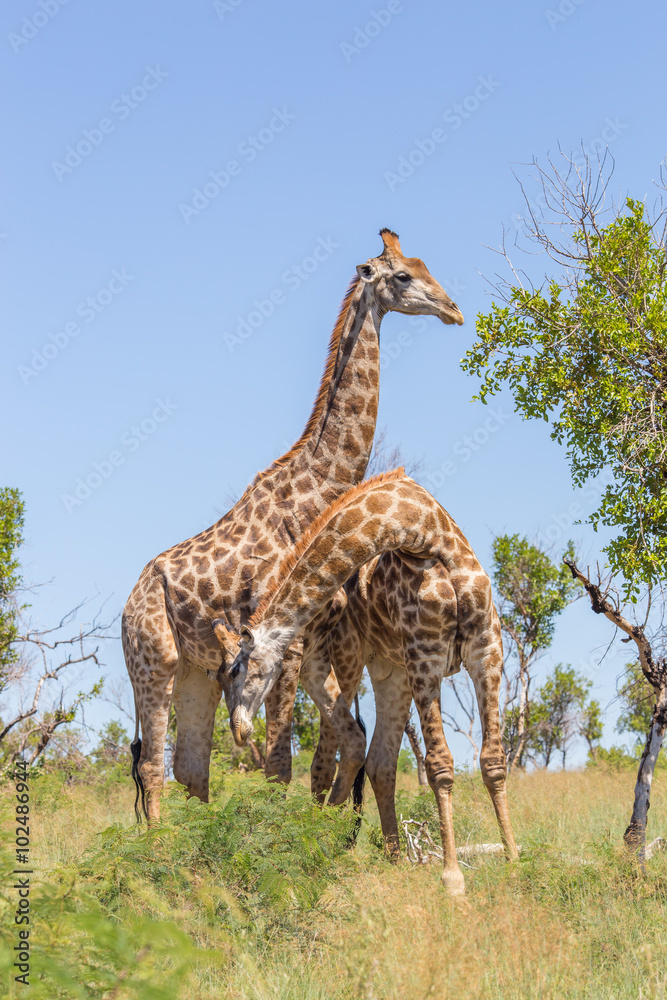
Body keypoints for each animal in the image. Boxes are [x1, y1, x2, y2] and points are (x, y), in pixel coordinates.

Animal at [122, 231, 463, 823]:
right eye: (402, 276)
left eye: (426, 266)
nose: (453, 309)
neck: (315, 492)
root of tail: (123, 610)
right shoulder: (284, 642)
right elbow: (280, 762)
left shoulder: (320, 642)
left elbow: (332, 749)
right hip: (153, 661)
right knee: (150, 767)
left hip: (193, 674)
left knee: (191, 767)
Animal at [214, 470, 519, 895]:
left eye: (233, 671)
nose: (238, 730)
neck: (427, 532)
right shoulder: (425, 654)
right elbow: (440, 764)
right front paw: (453, 877)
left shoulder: (486, 650)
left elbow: (493, 760)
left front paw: (515, 862)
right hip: (346, 660)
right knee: (338, 751)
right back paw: (326, 834)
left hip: (389, 672)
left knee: (376, 760)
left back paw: (389, 856)